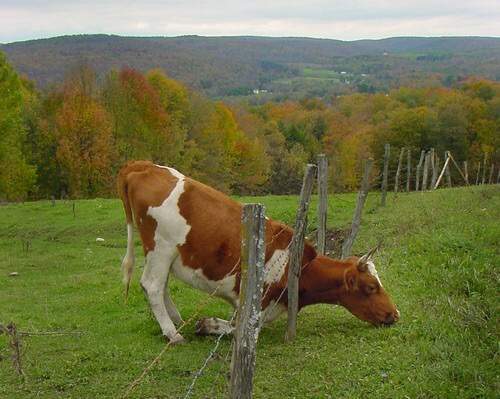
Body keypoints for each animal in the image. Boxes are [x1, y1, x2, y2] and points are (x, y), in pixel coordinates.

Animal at [116, 161, 398, 346]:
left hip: (162, 254)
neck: (298, 268)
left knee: (160, 285)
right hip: (161, 247)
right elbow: (235, 329)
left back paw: (176, 321)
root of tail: (141, 166)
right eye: (371, 287)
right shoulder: (257, 306)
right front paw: (207, 325)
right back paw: (172, 333)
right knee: (152, 286)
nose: (395, 314)